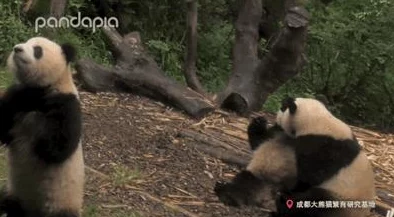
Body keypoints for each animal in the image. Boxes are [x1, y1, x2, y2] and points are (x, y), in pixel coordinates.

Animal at [0, 37, 84, 217]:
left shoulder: (67, 104)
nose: (17, 49)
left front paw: (35, 120)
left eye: (37, 50)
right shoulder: (17, 95)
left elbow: (56, 149)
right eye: (24, 42)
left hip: (61, 203)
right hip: (15, 192)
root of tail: (31, 212)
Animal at [215, 97, 376, 217]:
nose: (274, 118)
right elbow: (263, 141)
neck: (320, 121)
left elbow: (310, 175)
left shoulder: (322, 148)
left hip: (340, 197)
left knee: (311, 203)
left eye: (281, 108)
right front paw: (258, 123)